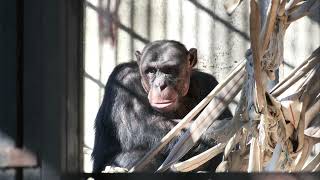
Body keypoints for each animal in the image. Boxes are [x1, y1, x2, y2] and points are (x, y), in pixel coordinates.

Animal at [91, 40, 231, 172]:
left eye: (169, 70)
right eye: (151, 71)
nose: (161, 84)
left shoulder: (208, 84)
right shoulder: (125, 80)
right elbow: (144, 124)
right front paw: (216, 130)